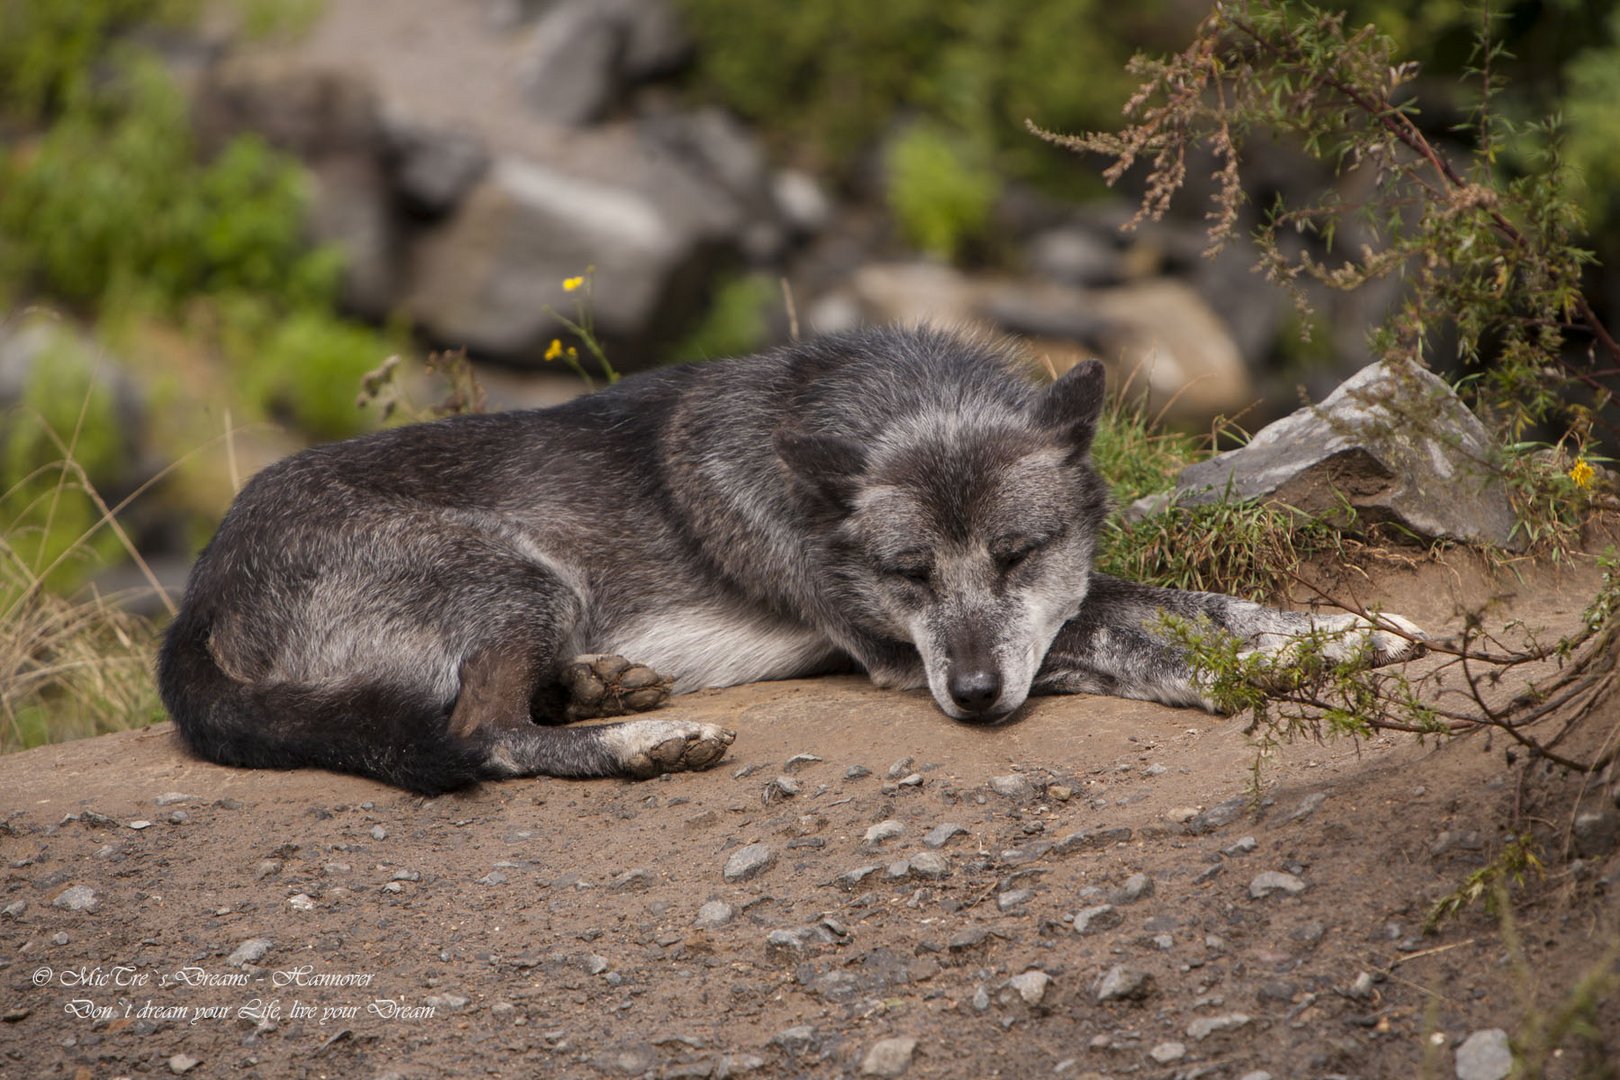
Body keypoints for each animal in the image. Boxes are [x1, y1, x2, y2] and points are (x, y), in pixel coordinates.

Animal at [157, 323, 1425, 793]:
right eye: (909, 578)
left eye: (1016, 554)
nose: (973, 699)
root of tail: (193, 602)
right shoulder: (901, 655)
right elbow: (1142, 637)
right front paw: (1270, 672)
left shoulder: (1047, 610)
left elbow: (1185, 598)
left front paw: (1346, 632)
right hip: (520, 576)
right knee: (479, 735)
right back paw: (643, 738)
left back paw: (611, 686)